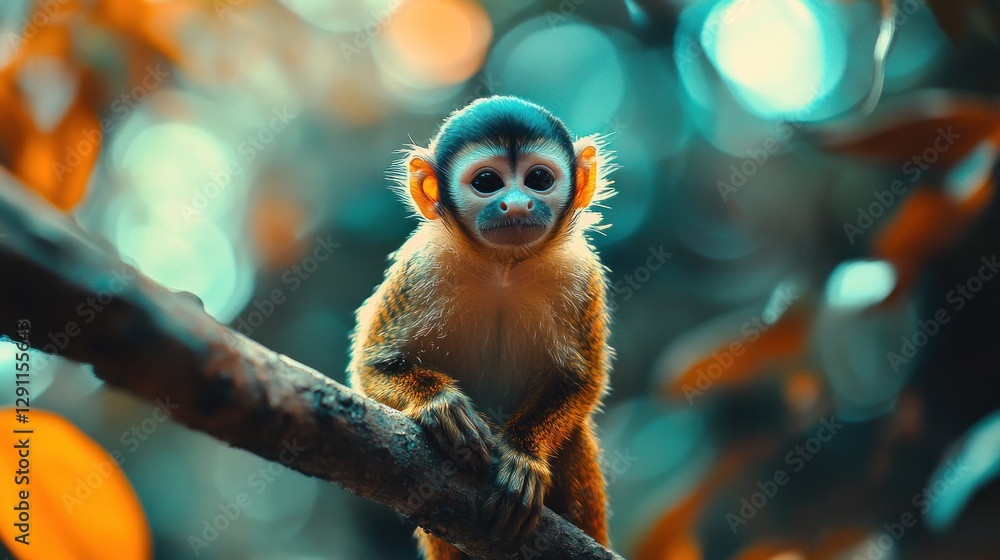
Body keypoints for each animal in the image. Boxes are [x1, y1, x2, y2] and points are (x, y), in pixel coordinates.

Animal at [347, 95, 615, 558]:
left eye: (538, 179)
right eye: (488, 182)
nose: (518, 204)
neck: (502, 268)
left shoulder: (582, 274)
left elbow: (583, 380)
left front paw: (523, 454)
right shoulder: (421, 265)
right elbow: (372, 366)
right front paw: (440, 404)